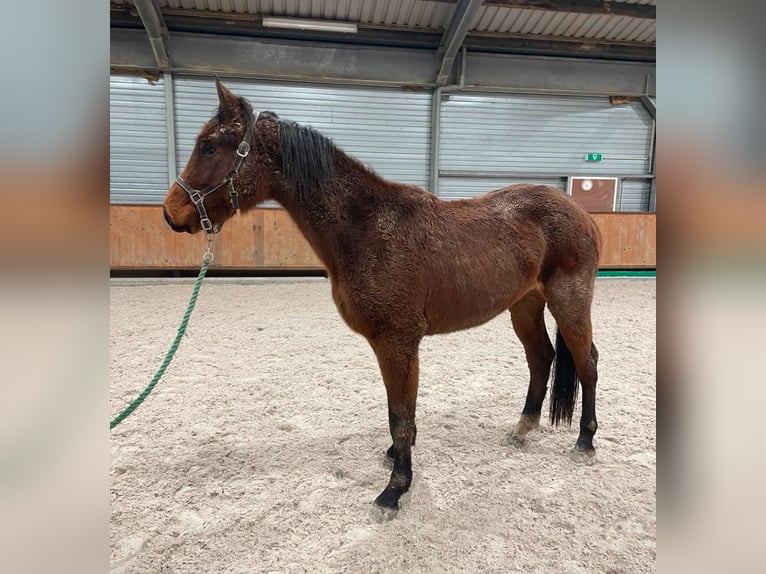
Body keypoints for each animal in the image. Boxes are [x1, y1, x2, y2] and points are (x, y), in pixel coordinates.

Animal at [164, 80, 608, 512]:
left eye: (208, 146)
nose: (171, 213)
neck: (369, 229)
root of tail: (581, 214)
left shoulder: (397, 342)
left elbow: (400, 416)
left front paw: (395, 489)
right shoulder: (391, 346)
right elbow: (398, 414)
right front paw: (397, 459)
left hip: (568, 302)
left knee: (586, 362)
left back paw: (585, 441)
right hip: (524, 306)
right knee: (542, 358)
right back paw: (522, 428)